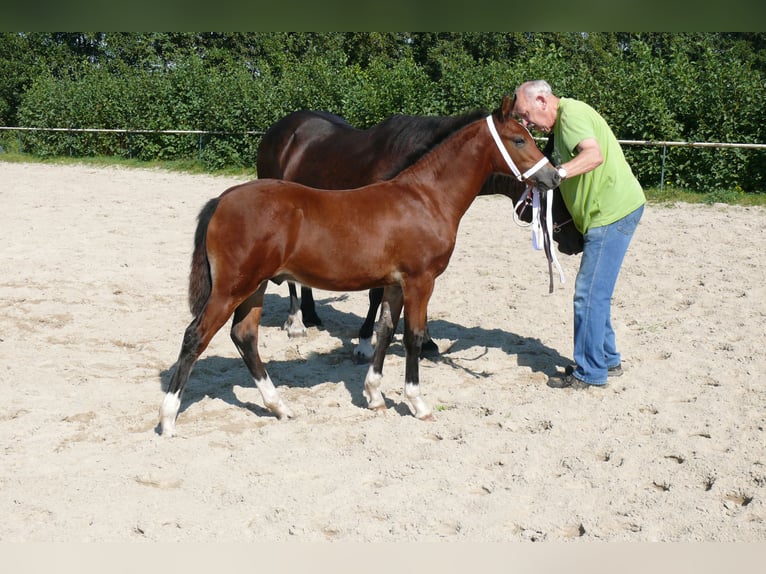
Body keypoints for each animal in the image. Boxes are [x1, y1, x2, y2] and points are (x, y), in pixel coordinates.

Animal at [258, 107, 584, 364]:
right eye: (562, 194)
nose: (578, 241)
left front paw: (426, 342)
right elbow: (376, 294)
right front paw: (364, 342)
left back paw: (311, 314)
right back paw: (296, 321)